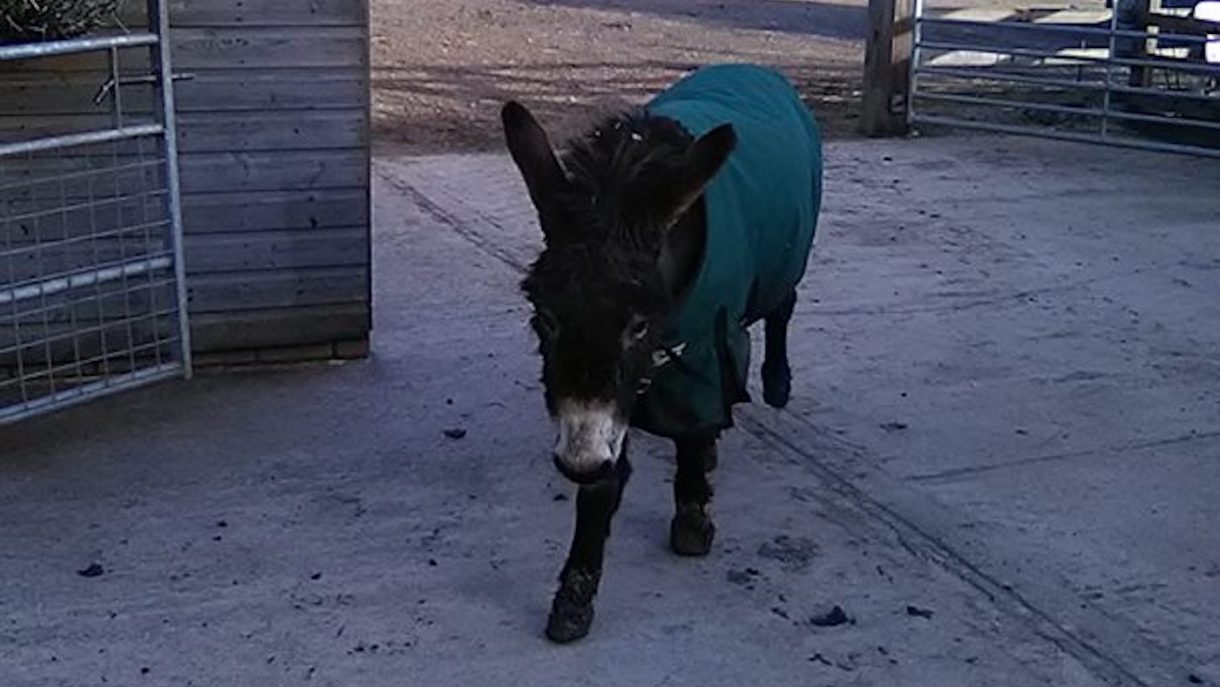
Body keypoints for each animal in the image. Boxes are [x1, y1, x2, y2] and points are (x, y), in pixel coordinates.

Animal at [501, 63, 823, 643]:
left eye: (639, 325)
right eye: (545, 316)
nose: (579, 462)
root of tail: (753, 69)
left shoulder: (706, 345)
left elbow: (695, 431)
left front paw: (693, 519)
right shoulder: (617, 399)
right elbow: (606, 484)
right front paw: (574, 597)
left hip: (786, 255)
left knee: (783, 303)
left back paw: (777, 383)